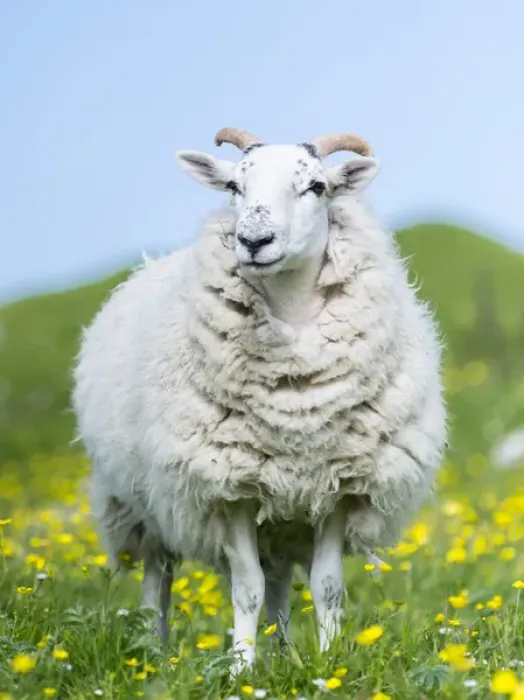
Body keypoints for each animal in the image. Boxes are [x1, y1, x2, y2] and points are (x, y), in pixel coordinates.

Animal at [72, 126, 447, 675]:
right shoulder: (229, 489)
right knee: (159, 579)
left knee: (278, 584)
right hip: (146, 503)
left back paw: (284, 652)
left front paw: (327, 663)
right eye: (234, 186)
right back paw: (155, 652)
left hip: (283, 518)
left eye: (316, 186)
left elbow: (326, 586)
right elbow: (244, 588)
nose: (253, 241)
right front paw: (240, 669)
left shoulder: (338, 488)